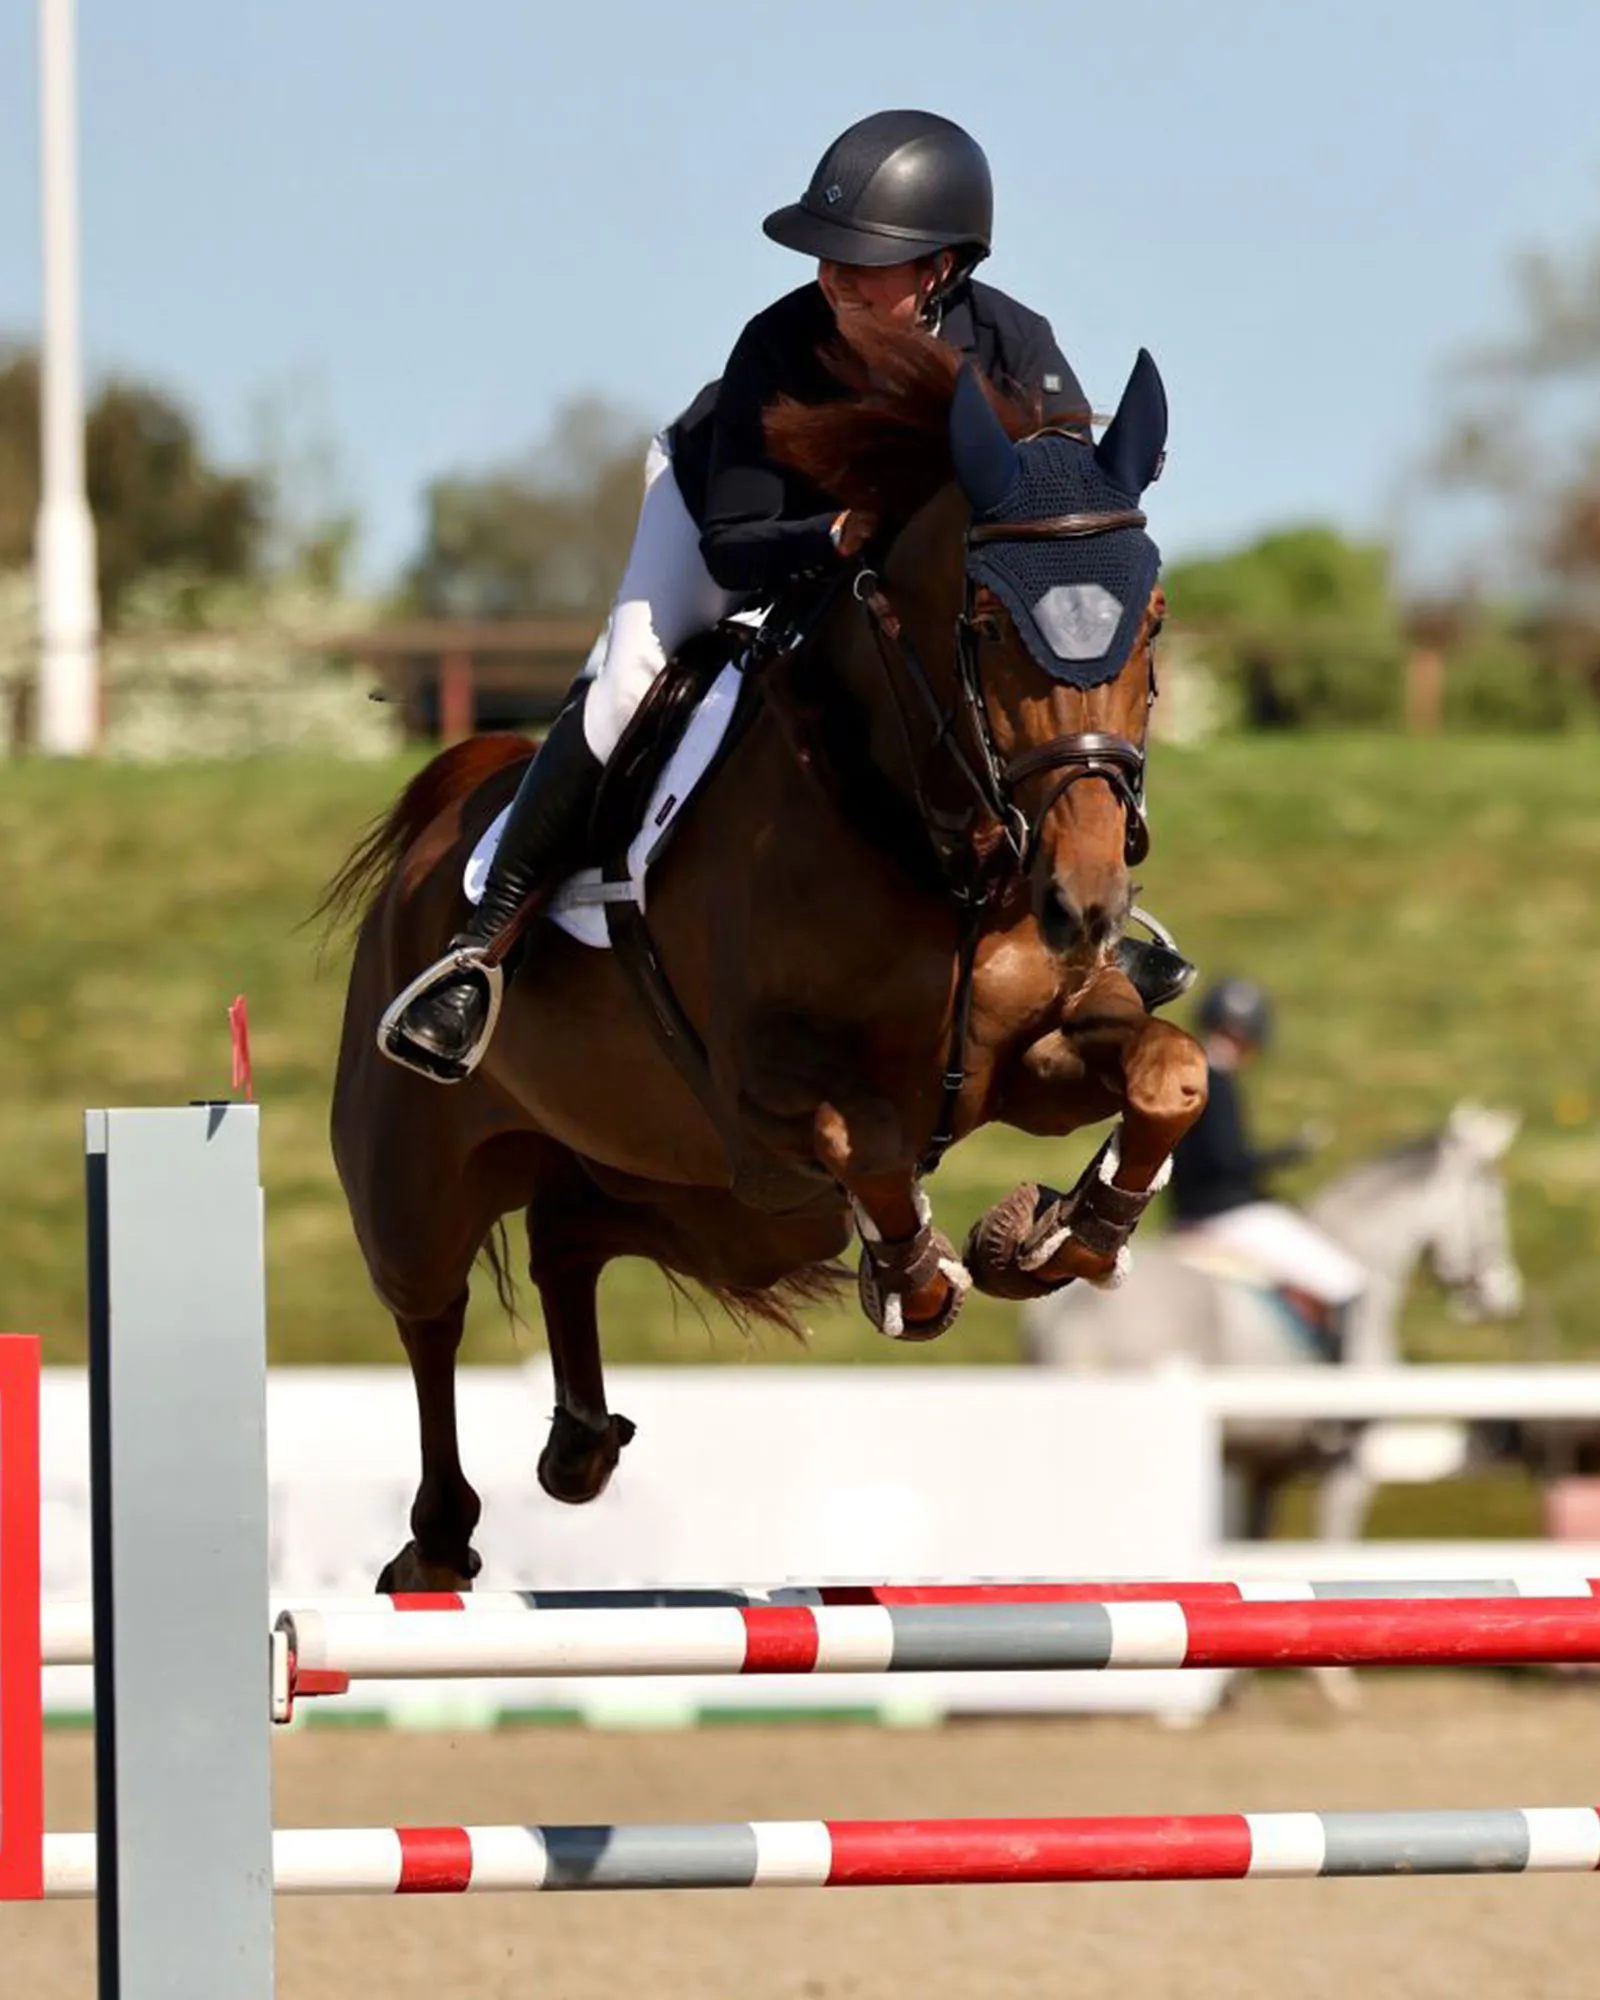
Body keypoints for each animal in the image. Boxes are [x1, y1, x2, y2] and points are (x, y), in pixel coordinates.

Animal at [323, 324, 1207, 1592]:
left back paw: (581, 1445)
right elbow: (870, 1139)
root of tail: (453, 805)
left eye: (1154, 621)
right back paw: (437, 1541)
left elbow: (1168, 1071)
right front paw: (920, 1273)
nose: (1083, 898)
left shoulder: (1024, 1061)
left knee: (569, 1232)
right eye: (988, 627)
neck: (926, 828)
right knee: (429, 1311)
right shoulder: (765, 1091)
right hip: (427, 1167)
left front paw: (1060, 1230)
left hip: (727, 1202)